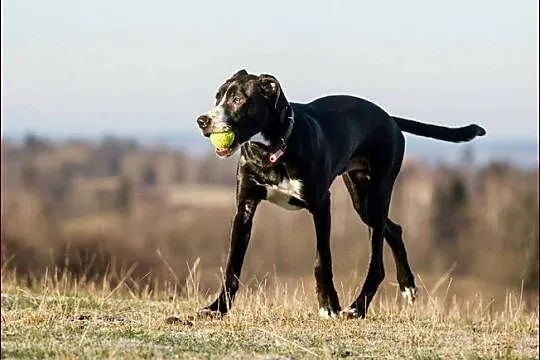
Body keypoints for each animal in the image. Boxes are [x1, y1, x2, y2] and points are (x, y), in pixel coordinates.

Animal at [196, 69, 488, 320]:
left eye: (238, 100)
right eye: (217, 97)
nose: (203, 121)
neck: (271, 150)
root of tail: (390, 119)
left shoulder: (321, 204)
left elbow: (322, 260)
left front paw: (329, 306)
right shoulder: (245, 207)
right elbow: (233, 263)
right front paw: (217, 307)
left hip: (378, 195)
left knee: (377, 263)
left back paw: (357, 308)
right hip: (362, 200)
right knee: (394, 230)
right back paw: (407, 285)